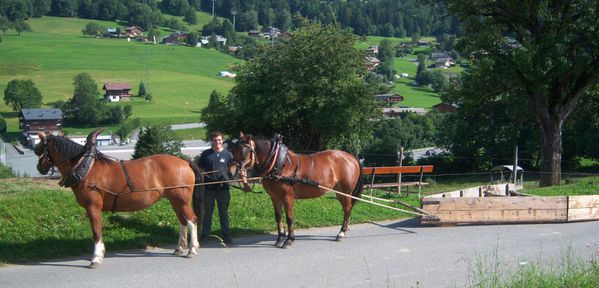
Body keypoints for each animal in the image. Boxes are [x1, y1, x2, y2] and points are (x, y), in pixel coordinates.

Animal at [34, 129, 199, 266]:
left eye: (40, 148)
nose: (39, 167)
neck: (86, 168)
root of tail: (185, 162)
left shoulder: (93, 207)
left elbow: (96, 231)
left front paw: (96, 258)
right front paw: (100, 253)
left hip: (182, 200)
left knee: (191, 220)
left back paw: (192, 250)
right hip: (175, 200)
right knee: (183, 221)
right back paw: (179, 248)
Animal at [229, 134, 360, 249]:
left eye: (242, 151)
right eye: (233, 150)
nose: (230, 171)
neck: (279, 164)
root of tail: (352, 157)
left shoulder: (287, 197)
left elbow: (289, 217)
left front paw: (289, 240)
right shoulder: (275, 197)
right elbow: (278, 217)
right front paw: (280, 239)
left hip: (346, 191)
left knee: (347, 209)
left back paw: (341, 233)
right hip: (339, 192)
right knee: (346, 209)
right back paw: (345, 230)